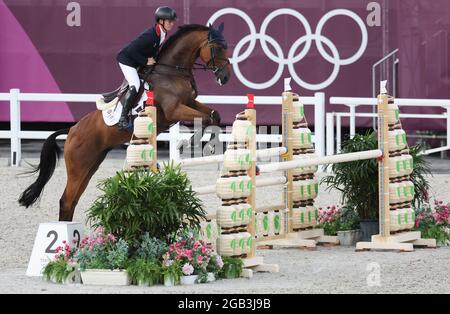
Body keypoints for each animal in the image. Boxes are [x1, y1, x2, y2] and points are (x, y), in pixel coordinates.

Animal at [18, 23, 230, 221]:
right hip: (79, 166)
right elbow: (205, 118)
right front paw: (192, 142)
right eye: (217, 48)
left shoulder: (189, 102)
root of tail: (71, 130)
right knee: (66, 201)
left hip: (91, 165)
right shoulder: (174, 110)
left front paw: (209, 144)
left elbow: (215, 115)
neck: (171, 72)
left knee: (72, 201)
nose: (225, 77)